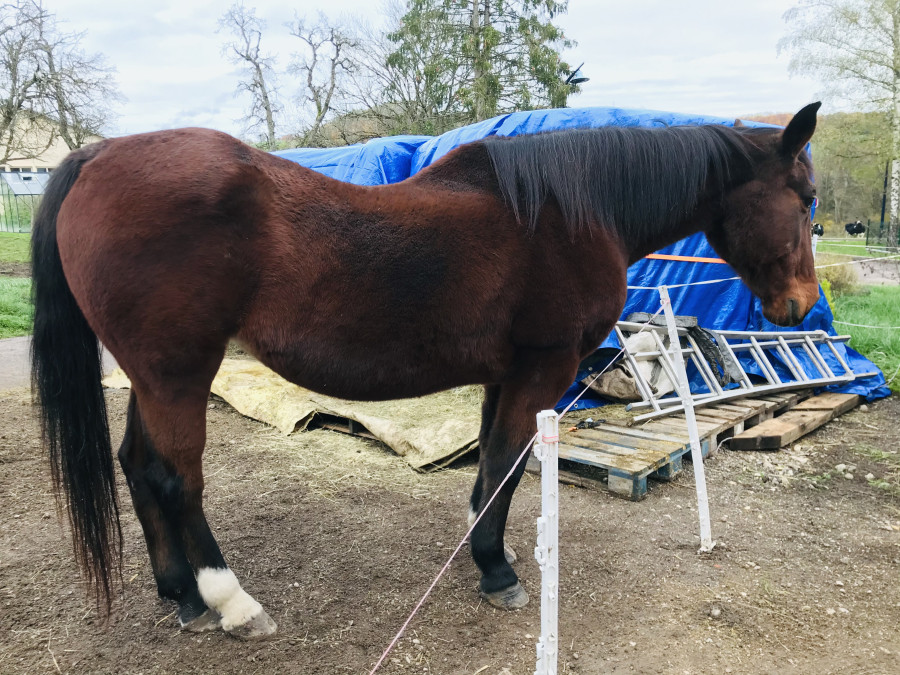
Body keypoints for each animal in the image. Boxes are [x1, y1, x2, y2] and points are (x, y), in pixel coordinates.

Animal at [31, 102, 822, 639]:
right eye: (807, 199)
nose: (800, 304)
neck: (567, 214)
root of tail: (95, 158)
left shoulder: (506, 374)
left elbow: (496, 470)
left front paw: (485, 551)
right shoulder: (543, 367)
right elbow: (506, 462)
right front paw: (498, 570)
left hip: (152, 376)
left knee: (138, 465)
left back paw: (183, 596)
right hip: (179, 373)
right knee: (176, 478)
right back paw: (230, 601)